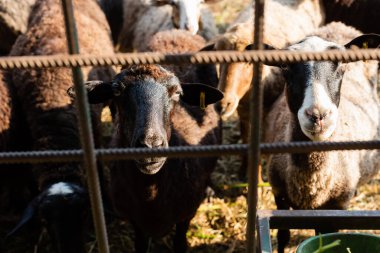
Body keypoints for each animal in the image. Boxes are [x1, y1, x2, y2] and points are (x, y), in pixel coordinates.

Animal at [205, 0, 324, 180]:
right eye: (217, 58)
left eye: (249, 61)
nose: (222, 105)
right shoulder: (243, 113)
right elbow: (246, 138)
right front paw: (243, 170)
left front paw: (257, 179)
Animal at [260, 22, 380, 252]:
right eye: (285, 68)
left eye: (342, 65)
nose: (318, 115)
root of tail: (338, 26)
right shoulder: (279, 193)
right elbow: (283, 235)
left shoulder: (335, 209)